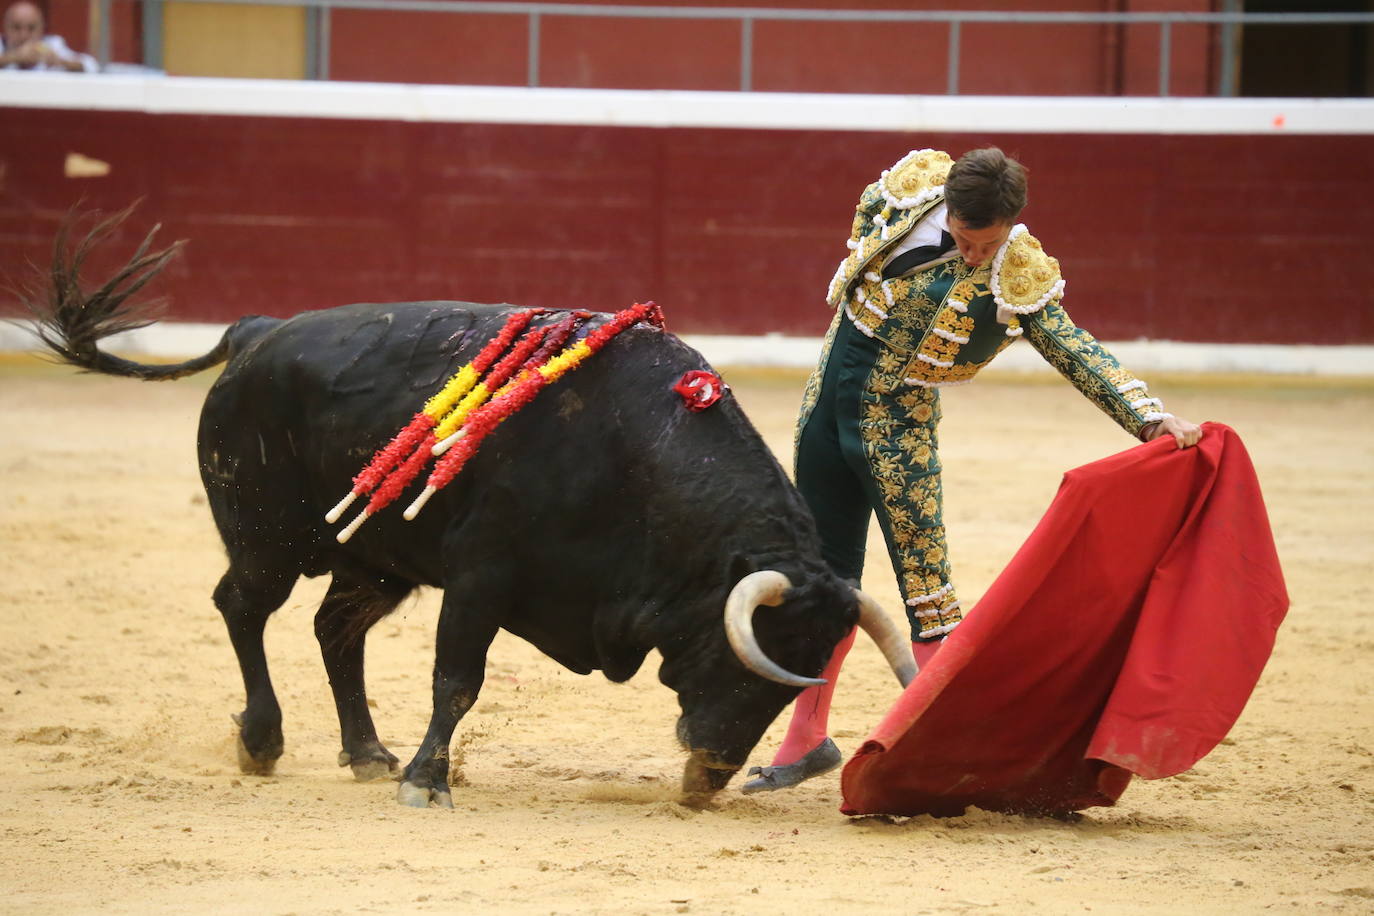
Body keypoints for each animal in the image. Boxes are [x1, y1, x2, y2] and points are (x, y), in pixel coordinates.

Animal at [26, 216, 912, 807]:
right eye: (750, 658)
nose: (709, 780)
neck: (638, 459)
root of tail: (258, 332)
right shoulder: (482, 577)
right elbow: (457, 681)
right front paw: (428, 783)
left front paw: (411, 770)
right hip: (267, 538)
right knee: (243, 607)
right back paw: (264, 740)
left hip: (373, 562)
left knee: (334, 631)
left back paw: (366, 750)